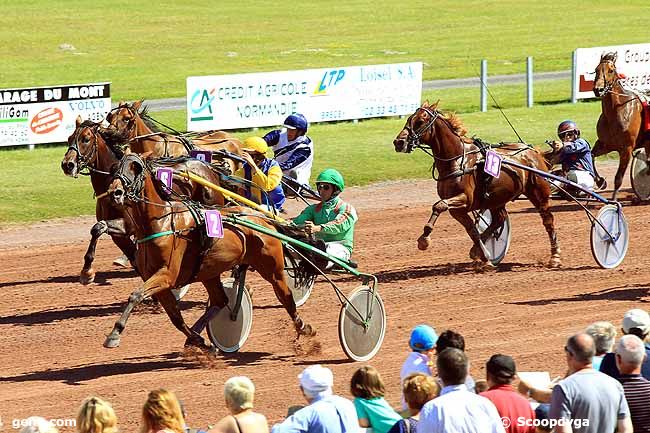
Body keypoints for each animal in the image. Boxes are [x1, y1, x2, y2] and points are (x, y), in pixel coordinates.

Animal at [103, 153, 312, 352]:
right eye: (115, 168)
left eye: (135, 167)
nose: (115, 192)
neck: (160, 222)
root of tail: (263, 218)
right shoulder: (155, 278)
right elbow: (175, 317)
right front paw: (199, 341)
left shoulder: (167, 275)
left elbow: (136, 295)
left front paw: (114, 334)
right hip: (209, 272)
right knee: (220, 300)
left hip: (272, 269)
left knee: (285, 296)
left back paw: (304, 328)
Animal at [392, 103, 560, 268]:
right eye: (409, 119)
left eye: (420, 121)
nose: (399, 142)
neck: (457, 160)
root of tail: (534, 152)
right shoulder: (458, 210)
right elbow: (472, 230)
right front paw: (484, 257)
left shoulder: (465, 199)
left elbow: (438, 206)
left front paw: (424, 239)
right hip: (496, 200)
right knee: (499, 219)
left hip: (539, 194)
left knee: (548, 220)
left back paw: (555, 257)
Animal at [592, 52, 648, 199]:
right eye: (596, 70)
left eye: (611, 70)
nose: (598, 89)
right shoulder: (605, 144)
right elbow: (591, 156)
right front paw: (600, 181)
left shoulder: (626, 149)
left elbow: (618, 178)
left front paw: (613, 200)